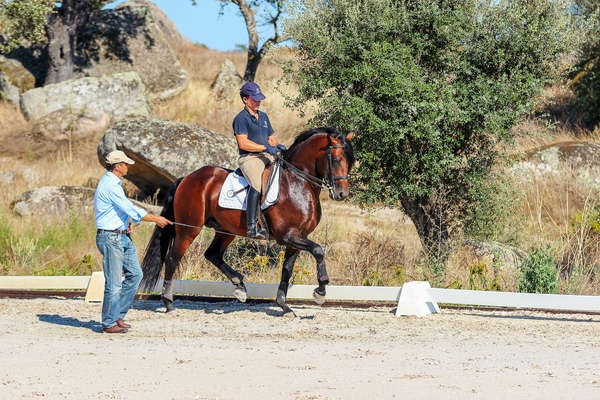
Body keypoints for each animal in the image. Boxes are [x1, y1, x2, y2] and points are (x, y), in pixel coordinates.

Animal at [141, 126, 354, 314]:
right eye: (336, 159)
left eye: (350, 161)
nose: (341, 194)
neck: (297, 183)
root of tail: (186, 178)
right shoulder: (288, 236)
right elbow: (318, 250)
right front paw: (320, 291)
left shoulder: (296, 239)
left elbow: (287, 269)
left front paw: (284, 306)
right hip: (189, 228)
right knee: (172, 258)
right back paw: (169, 302)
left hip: (226, 230)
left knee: (212, 254)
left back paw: (240, 287)